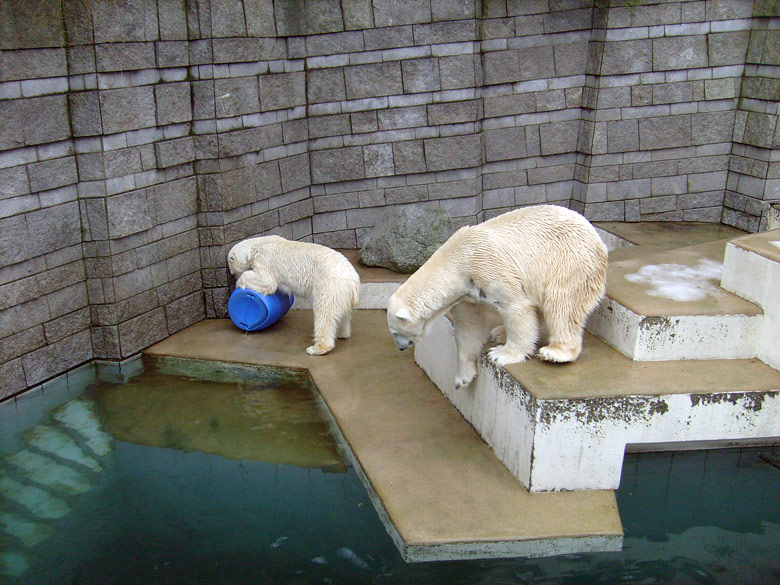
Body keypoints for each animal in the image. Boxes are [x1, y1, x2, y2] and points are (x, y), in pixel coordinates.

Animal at [225, 236, 360, 356]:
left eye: (233, 272)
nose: (234, 277)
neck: (256, 245)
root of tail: (353, 280)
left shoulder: (264, 260)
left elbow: (267, 282)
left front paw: (240, 283)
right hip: (341, 294)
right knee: (342, 316)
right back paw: (341, 334)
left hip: (329, 287)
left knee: (324, 315)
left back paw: (316, 349)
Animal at [388, 205, 608, 388]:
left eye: (395, 331)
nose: (400, 348)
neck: (456, 261)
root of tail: (599, 239)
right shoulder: (466, 293)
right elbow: (469, 327)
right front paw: (462, 378)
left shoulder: (487, 267)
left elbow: (516, 306)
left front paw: (502, 355)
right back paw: (499, 332)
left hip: (569, 261)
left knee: (562, 304)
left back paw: (555, 352)